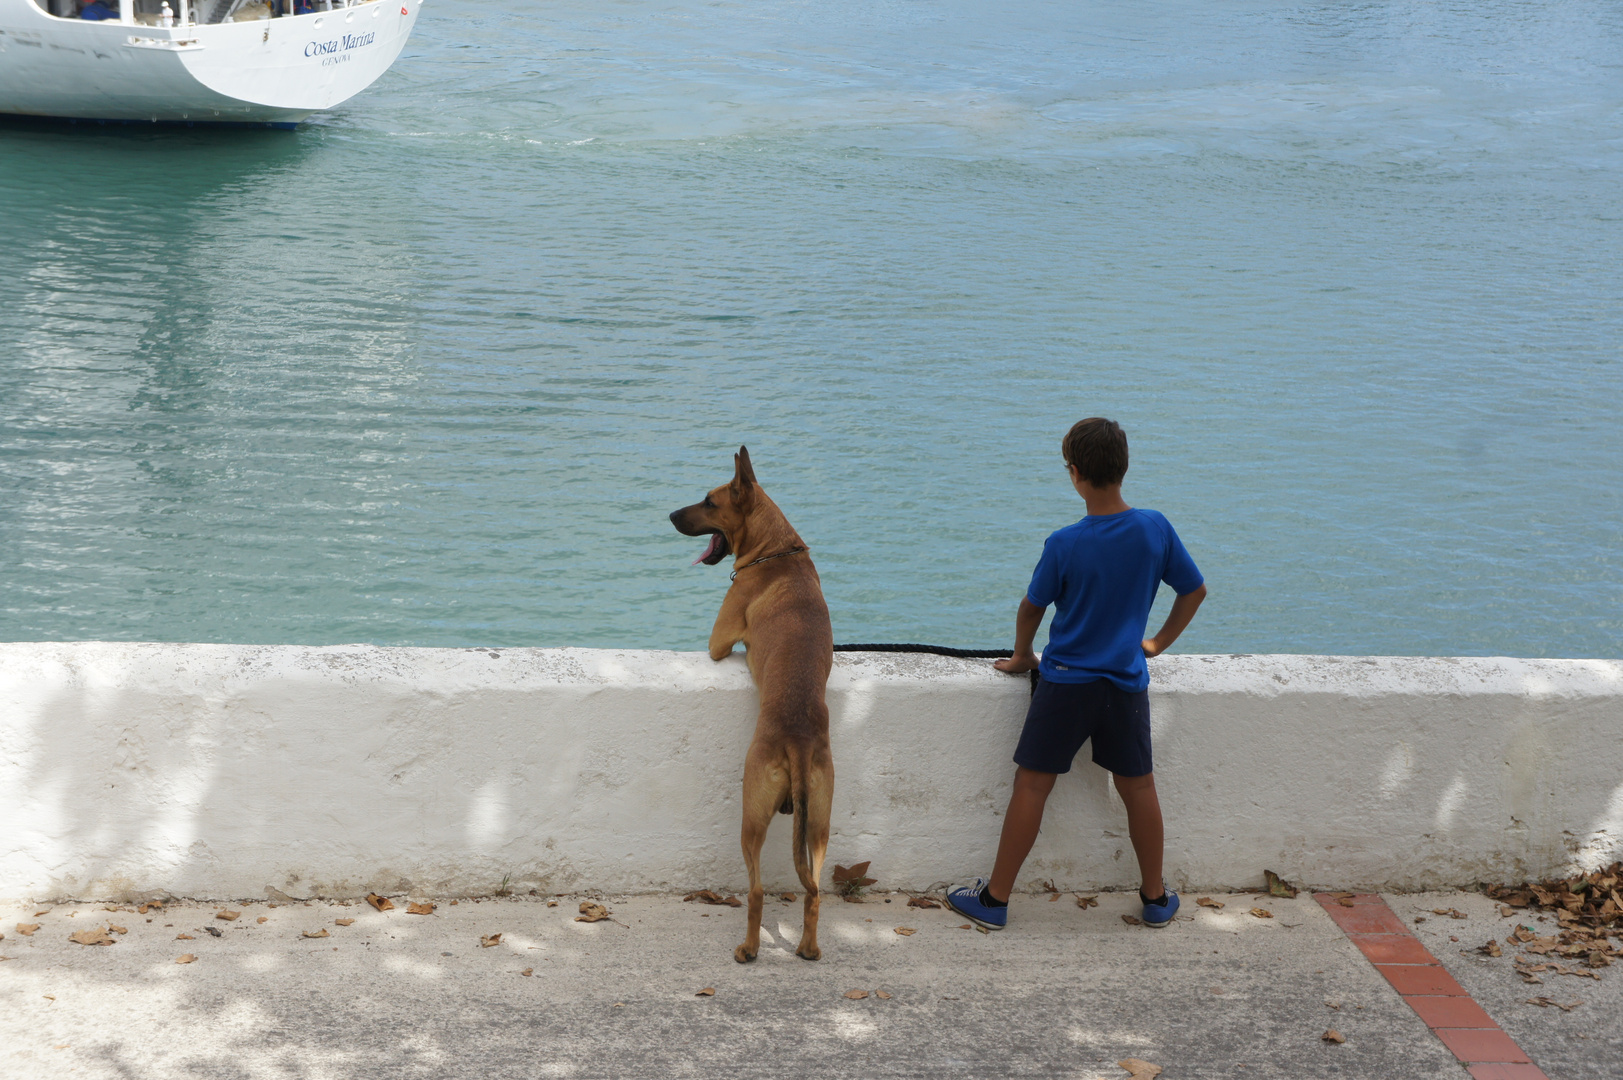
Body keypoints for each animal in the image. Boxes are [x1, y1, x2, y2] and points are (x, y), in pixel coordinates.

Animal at [665, 444, 830, 961]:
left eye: (709, 501)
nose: (670, 515)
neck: (777, 551)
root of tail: (797, 740)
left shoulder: (721, 636)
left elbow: (721, 646)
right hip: (819, 824)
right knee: (815, 891)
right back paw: (809, 948)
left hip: (750, 817)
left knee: (756, 890)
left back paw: (749, 948)